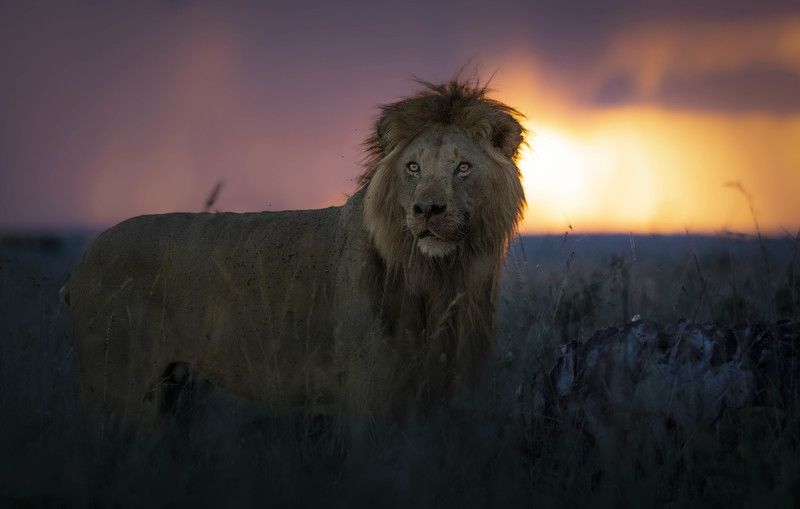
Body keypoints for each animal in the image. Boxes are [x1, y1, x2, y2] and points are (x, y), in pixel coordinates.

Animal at [65, 79, 526, 432]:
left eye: (463, 168)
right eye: (412, 168)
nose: (427, 209)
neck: (439, 276)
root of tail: (83, 259)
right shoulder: (369, 391)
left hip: (168, 390)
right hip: (118, 389)